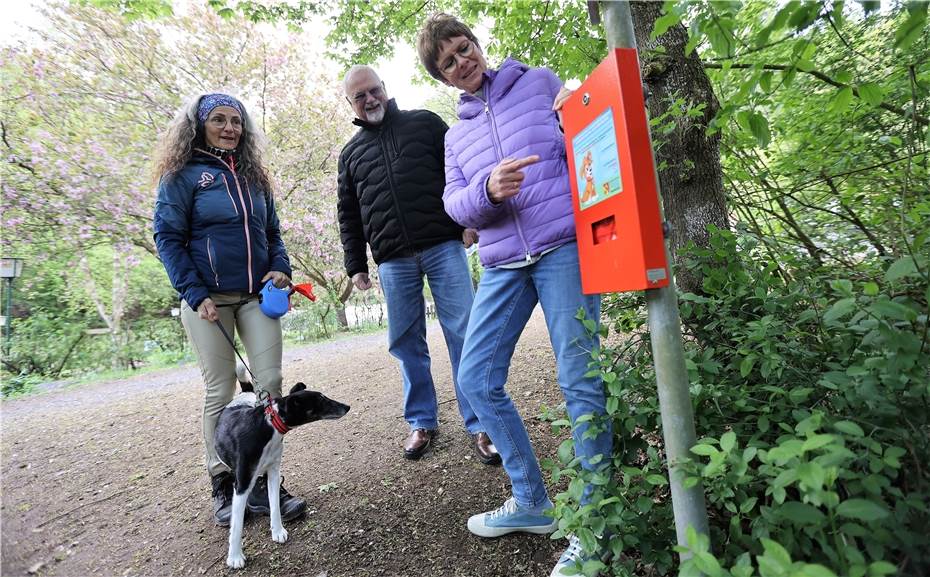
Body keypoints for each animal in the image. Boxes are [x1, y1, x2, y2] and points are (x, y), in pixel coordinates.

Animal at [214, 376, 352, 568]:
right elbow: (237, 524)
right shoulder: (242, 484)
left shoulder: (273, 472)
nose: (347, 406)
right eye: (322, 400)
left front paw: (277, 531)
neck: (268, 425)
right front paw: (235, 557)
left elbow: (275, 506)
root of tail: (244, 394)